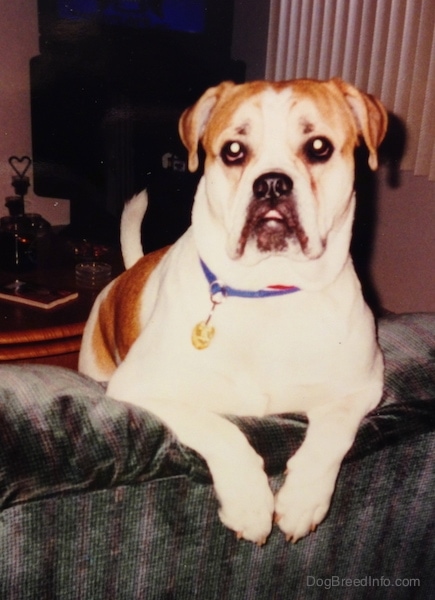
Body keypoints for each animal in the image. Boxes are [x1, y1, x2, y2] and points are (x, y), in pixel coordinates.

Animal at [80, 78, 390, 544]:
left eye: (318, 146)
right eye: (233, 151)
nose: (272, 184)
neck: (268, 292)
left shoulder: (362, 388)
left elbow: (332, 434)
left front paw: (302, 500)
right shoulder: (140, 388)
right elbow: (220, 429)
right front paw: (249, 504)